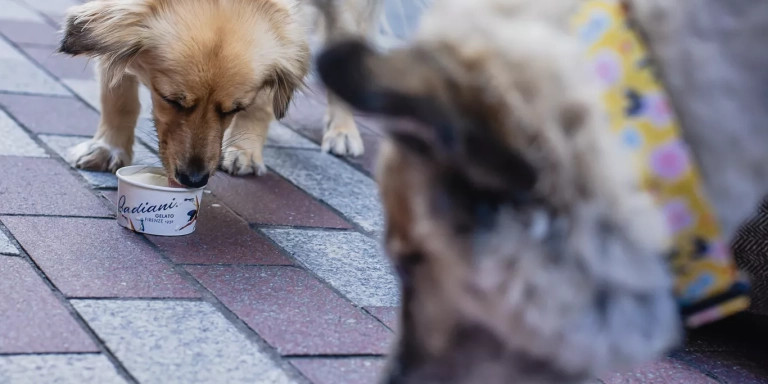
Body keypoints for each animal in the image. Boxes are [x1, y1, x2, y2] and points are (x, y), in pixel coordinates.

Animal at [58, 0, 382, 187]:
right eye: (170, 99)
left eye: (235, 109)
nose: (194, 180)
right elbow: (117, 96)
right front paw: (107, 147)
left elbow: (262, 104)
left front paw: (244, 150)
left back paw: (342, 131)